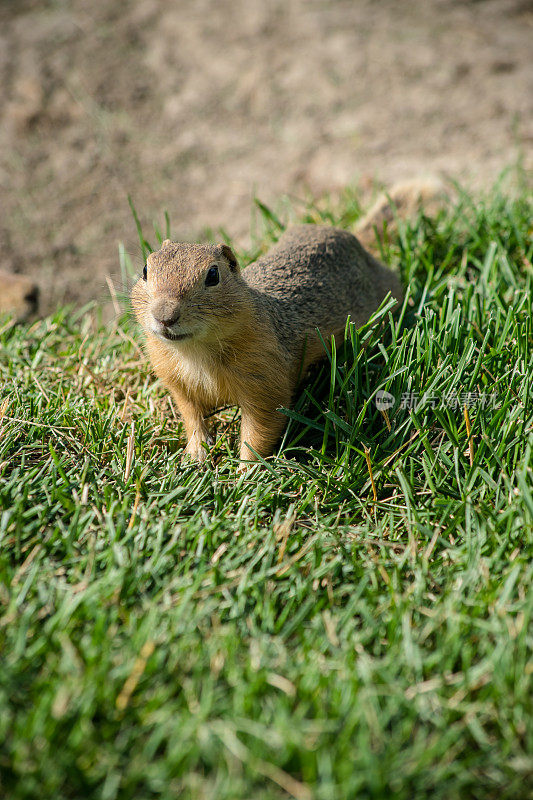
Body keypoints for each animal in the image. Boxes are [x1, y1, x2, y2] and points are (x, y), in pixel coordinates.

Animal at [130, 177, 440, 460]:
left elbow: (260, 429)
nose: (164, 315)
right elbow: (192, 416)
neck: (194, 352)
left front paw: (246, 473)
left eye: (213, 275)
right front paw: (196, 454)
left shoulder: (265, 380)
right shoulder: (177, 382)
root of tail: (353, 238)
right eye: (145, 269)